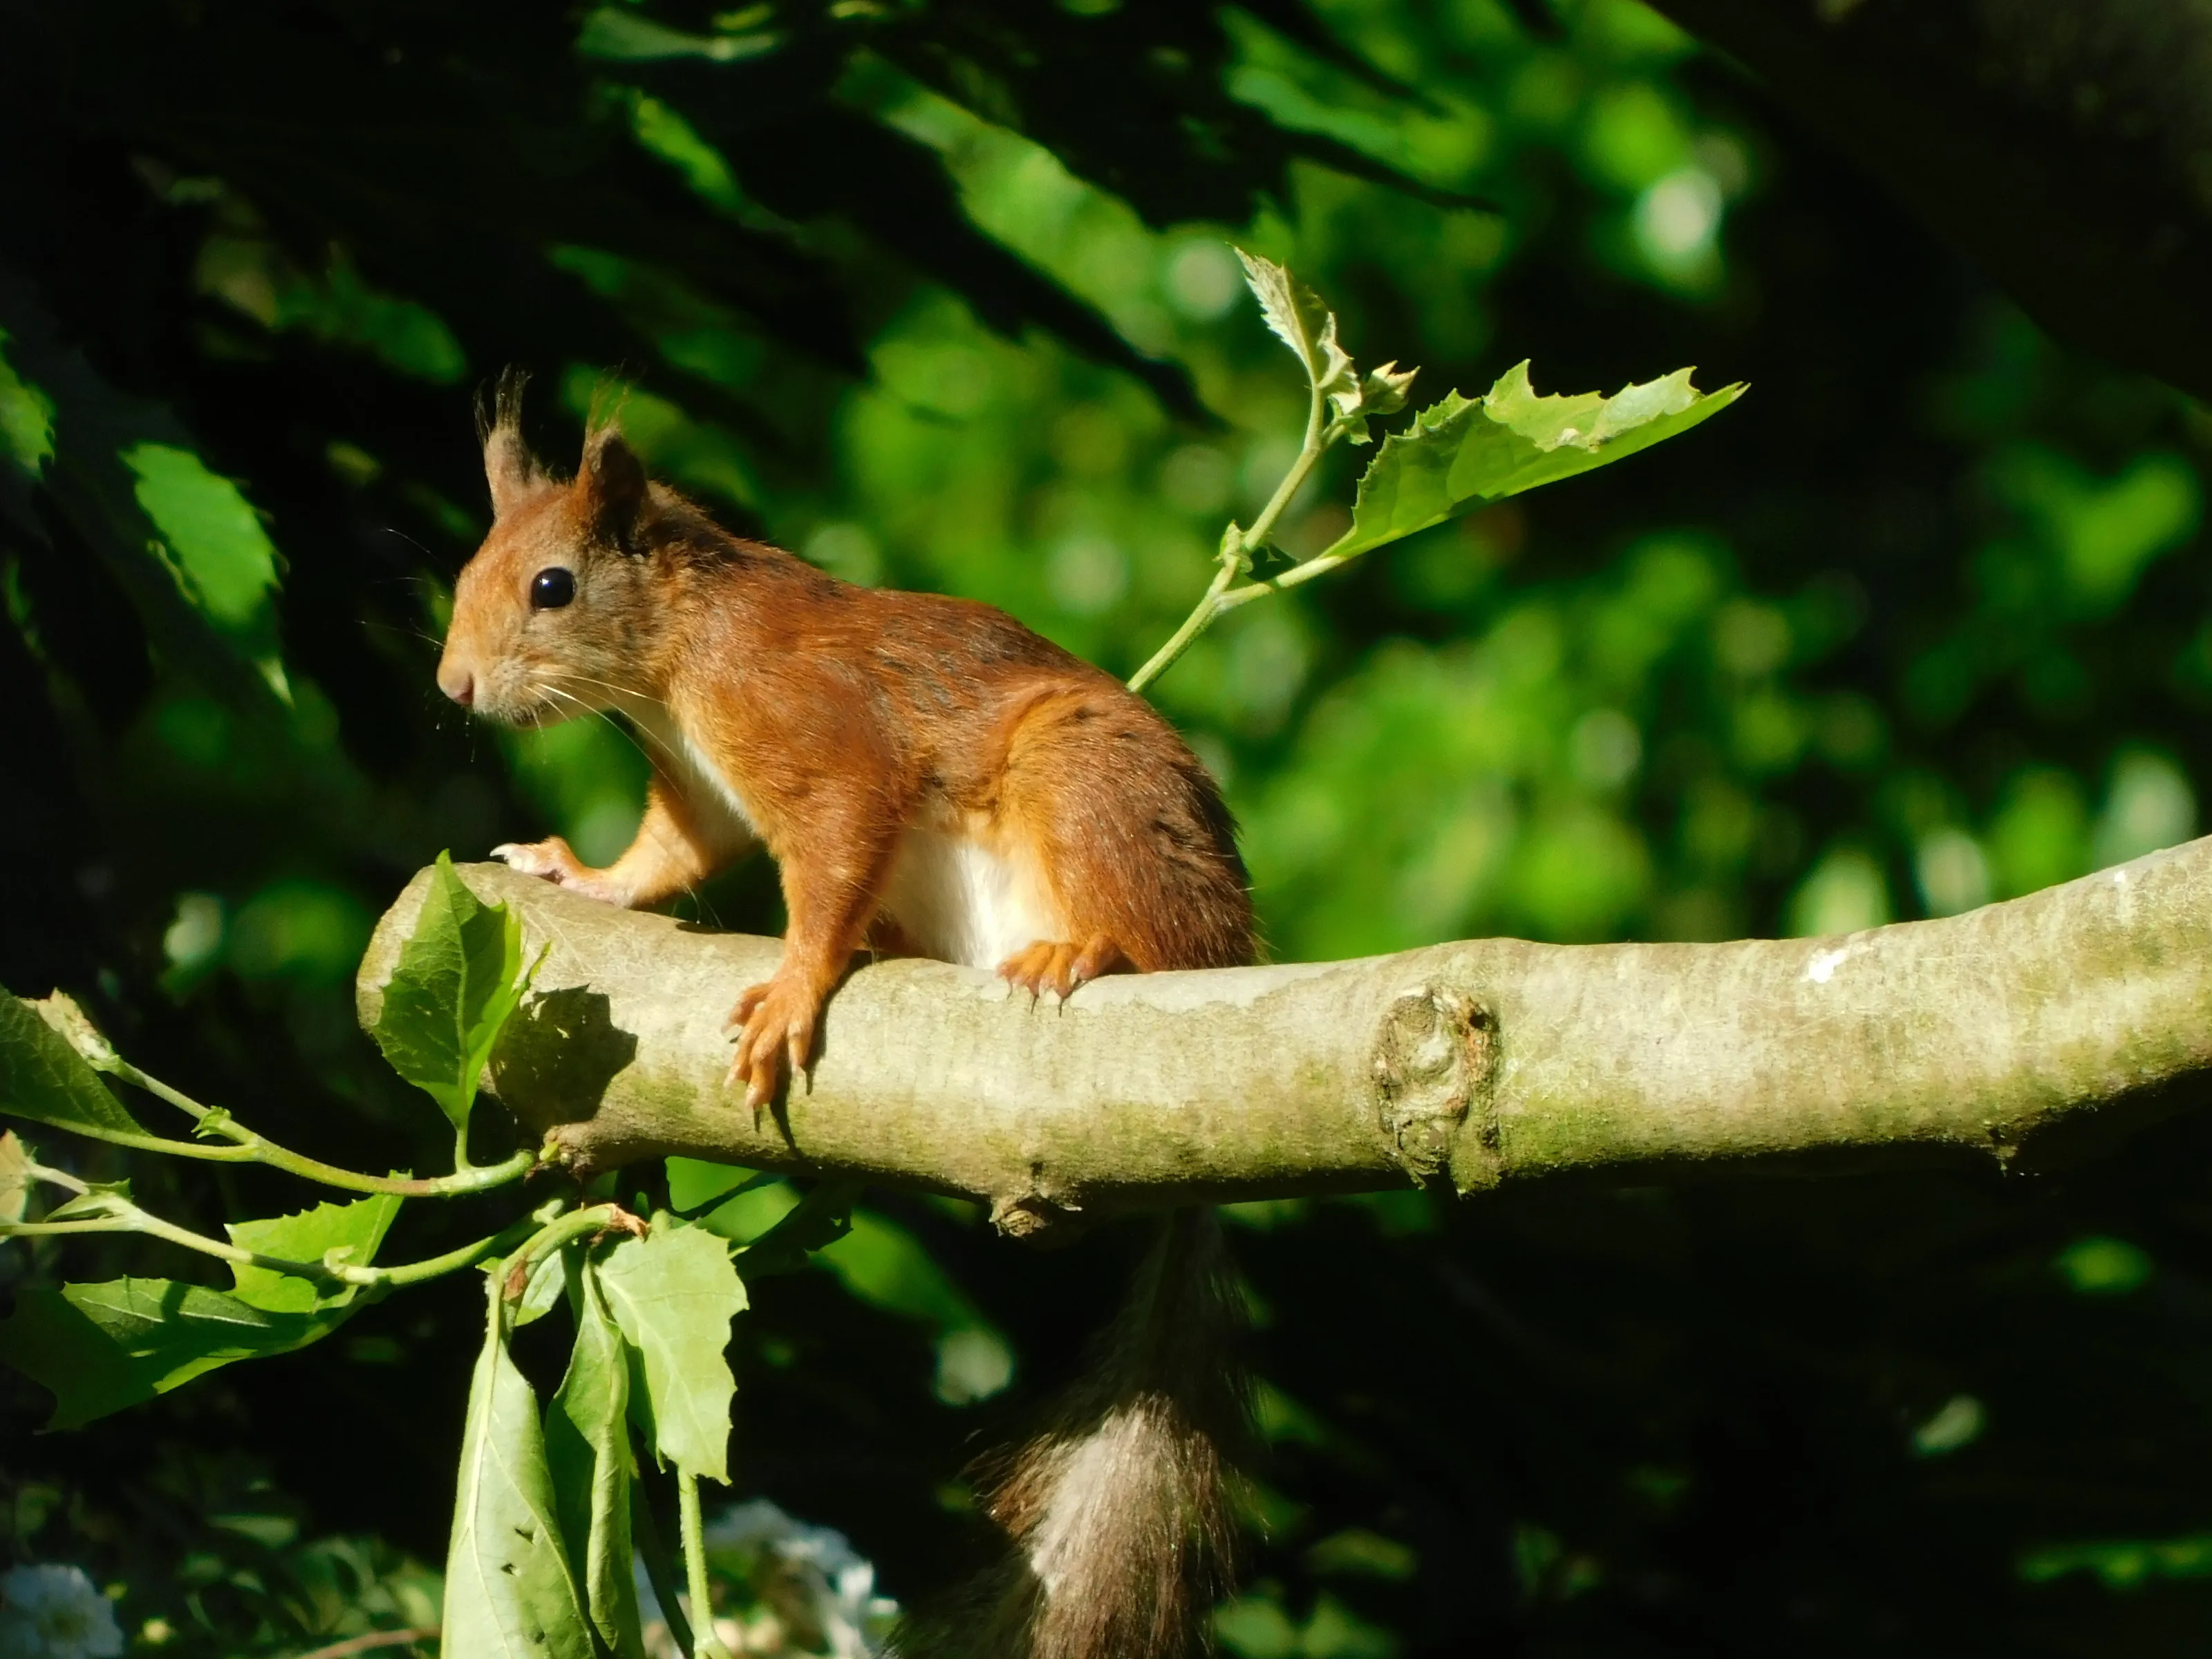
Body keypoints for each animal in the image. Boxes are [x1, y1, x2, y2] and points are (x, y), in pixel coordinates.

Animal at [436, 385, 1252, 1659]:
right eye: (472, 565)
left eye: (553, 586)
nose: (455, 689)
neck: (680, 659)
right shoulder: (704, 791)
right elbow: (669, 857)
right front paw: (578, 874)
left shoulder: (816, 740)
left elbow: (831, 854)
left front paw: (796, 985)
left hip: (1090, 789)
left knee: (1157, 938)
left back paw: (1087, 950)